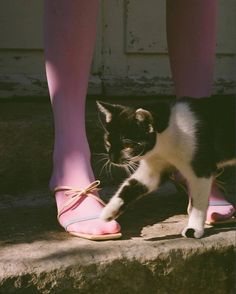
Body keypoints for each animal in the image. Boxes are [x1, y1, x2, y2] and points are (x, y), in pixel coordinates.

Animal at [95, 97, 234, 239]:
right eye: (108, 142)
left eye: (127, 145)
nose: (112, 158)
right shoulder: (154, 168)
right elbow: (131, 185)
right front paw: (108, 212)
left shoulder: (201, 169)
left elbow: (198, 203)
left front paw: (193, 228)